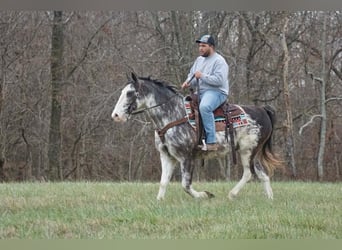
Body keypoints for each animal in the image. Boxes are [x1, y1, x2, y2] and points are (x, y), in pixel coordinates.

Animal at [111, 72, 282, 199]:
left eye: (130, 93)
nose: (116, 115)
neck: (174, 115)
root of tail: (263, 110)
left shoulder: (186, 157)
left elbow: (185, 185)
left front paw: (205, 195)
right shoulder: (166, 156)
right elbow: (163, 182)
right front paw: (159, 201)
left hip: (248, 151)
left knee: (248, 173)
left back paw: (232, 194)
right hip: (252, 152)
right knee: (262, 174)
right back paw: (270, 199)